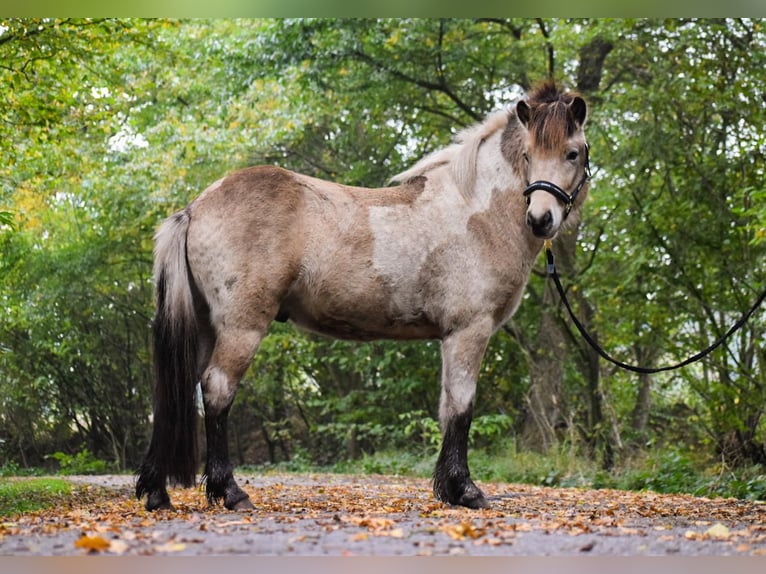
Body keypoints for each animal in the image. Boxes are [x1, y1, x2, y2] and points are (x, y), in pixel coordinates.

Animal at [136, 81, 592, 512]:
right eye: (528, 155)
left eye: (572, 153)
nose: (540, 219)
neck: (476, 209)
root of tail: (195, 208)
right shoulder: (469, 332)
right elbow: (462, 409)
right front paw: (465, 491)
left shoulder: (452, 338)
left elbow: (447, 408)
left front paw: (448, 488)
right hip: (241, 327)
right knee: (216, 391)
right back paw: (230, 493)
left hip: (204, 327)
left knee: (177, 391)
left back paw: (157, 492)